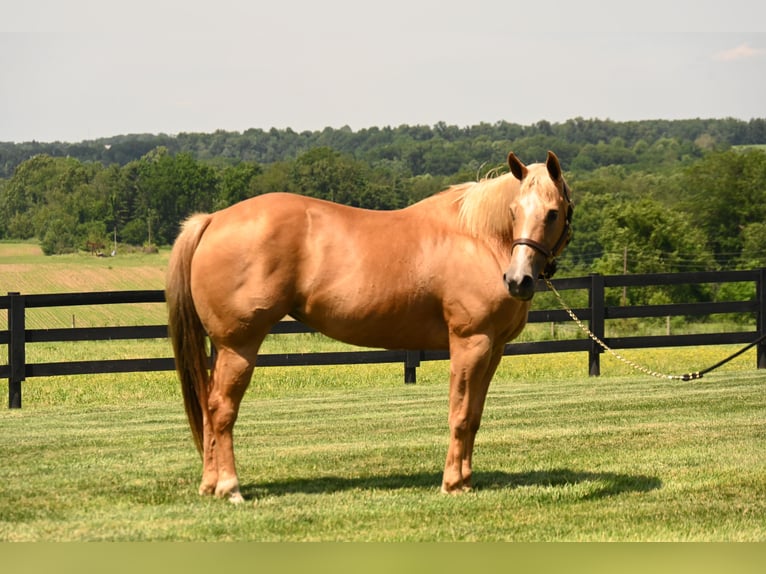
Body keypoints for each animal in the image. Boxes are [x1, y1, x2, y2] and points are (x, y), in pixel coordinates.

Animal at [166, 150, 573, 503]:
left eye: (553, 213)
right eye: (514, 211)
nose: (518, 281)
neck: (478, 238)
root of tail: (213, 220)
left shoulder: (494, 348)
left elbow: (473, 416)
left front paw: (466, 481)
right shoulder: (470, 343)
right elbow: (459, 415)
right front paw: (451, 483)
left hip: (221, 349)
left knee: (208, 407)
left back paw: (209, 485)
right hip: (239, 346)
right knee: (221, 409)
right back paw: (230, 488)